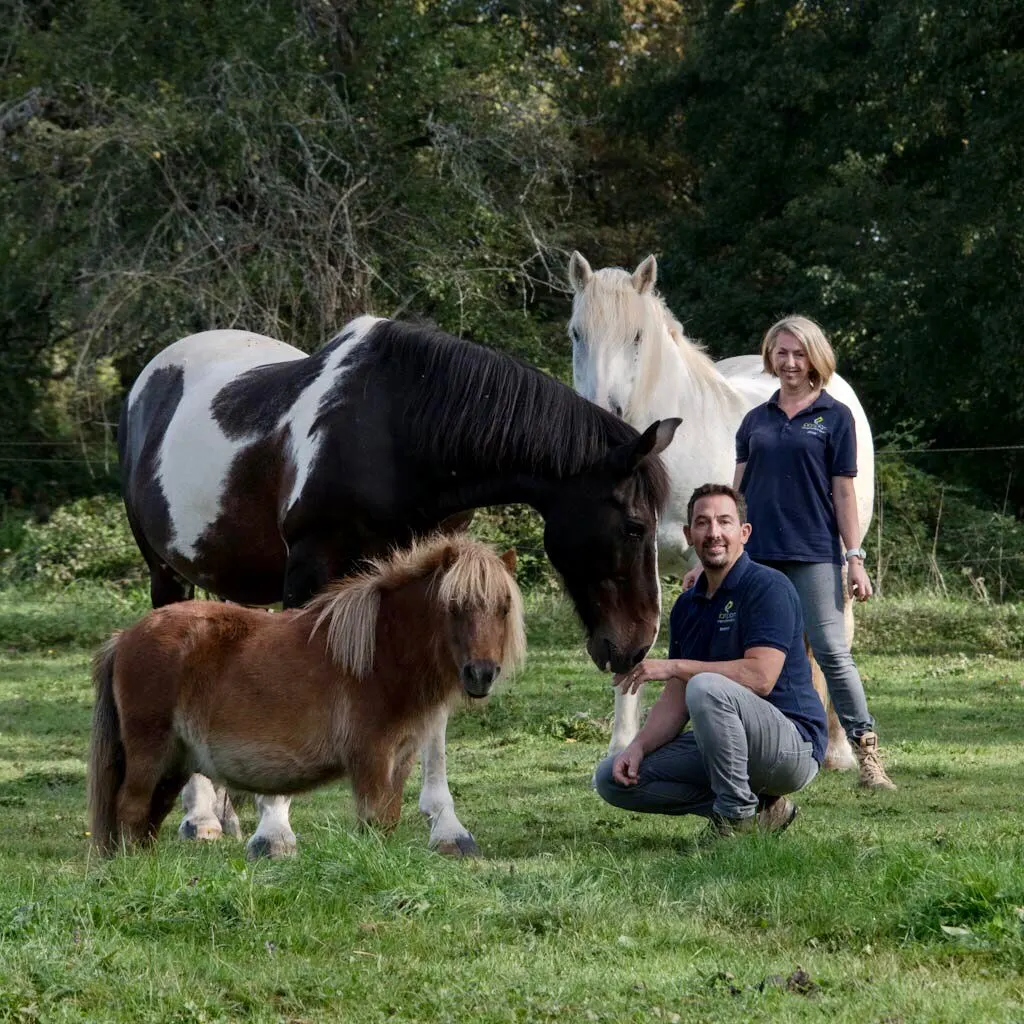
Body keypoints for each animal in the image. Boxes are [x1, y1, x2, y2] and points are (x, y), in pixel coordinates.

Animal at [88, 534, 526, 855]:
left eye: (504, 607)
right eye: (454, 605)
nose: (481, 673)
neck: (381, 653)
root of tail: (124, 637)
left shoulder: (399, 759)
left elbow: (389, 821)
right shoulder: (370, 759)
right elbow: (373, 825)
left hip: (175, 762)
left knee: (148, 819)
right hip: (151, 752)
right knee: (131, 809)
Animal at [568, 252, 875, 772]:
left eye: (637, 337)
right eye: (576, 333)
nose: (599, 415)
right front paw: (621, 746)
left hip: (838, 563)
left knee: (834, 641)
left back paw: (837, 750)